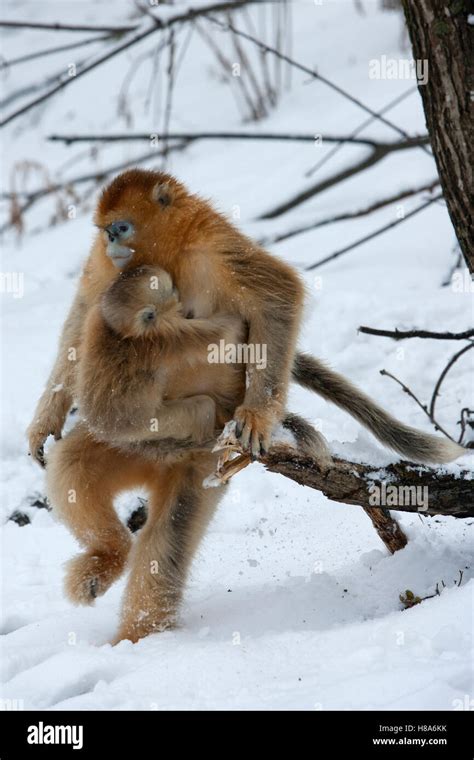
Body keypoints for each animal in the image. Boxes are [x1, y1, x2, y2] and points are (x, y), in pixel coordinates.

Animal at [28, 171, 462, 640]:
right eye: (104, 229)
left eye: (121, 227)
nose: (110, 242)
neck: (173, 253)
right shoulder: (108, 269)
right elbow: (85, 315)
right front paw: (45, 422)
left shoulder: (213, 244)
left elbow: (276, 297)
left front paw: (259, 415)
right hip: (139, 447)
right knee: (73, 465)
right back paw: (111, 567)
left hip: (197, 460)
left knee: (167, 537)